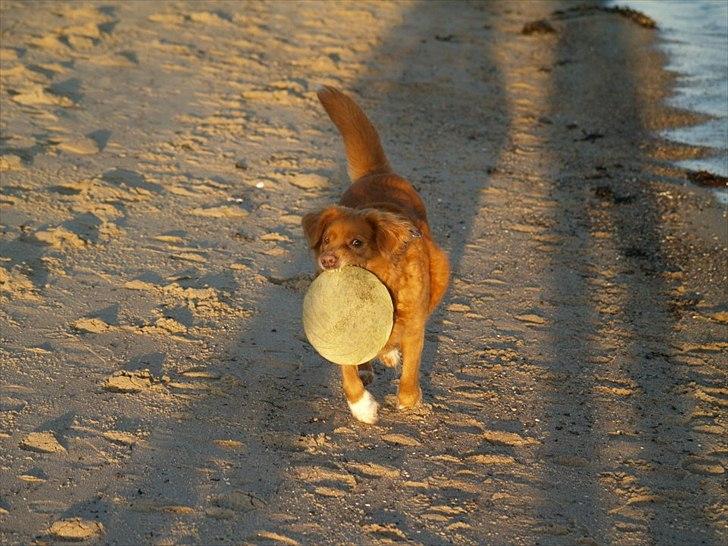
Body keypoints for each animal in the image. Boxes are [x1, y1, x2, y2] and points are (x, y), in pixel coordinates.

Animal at [302, 86, 450, 424]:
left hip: (441, 269)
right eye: (326, 240)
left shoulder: (414, 325)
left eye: (357, 242)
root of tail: (377, 172)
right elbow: (348, 373)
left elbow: (411, 367)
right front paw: (362, 406)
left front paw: (408, 399)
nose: (327, 261)